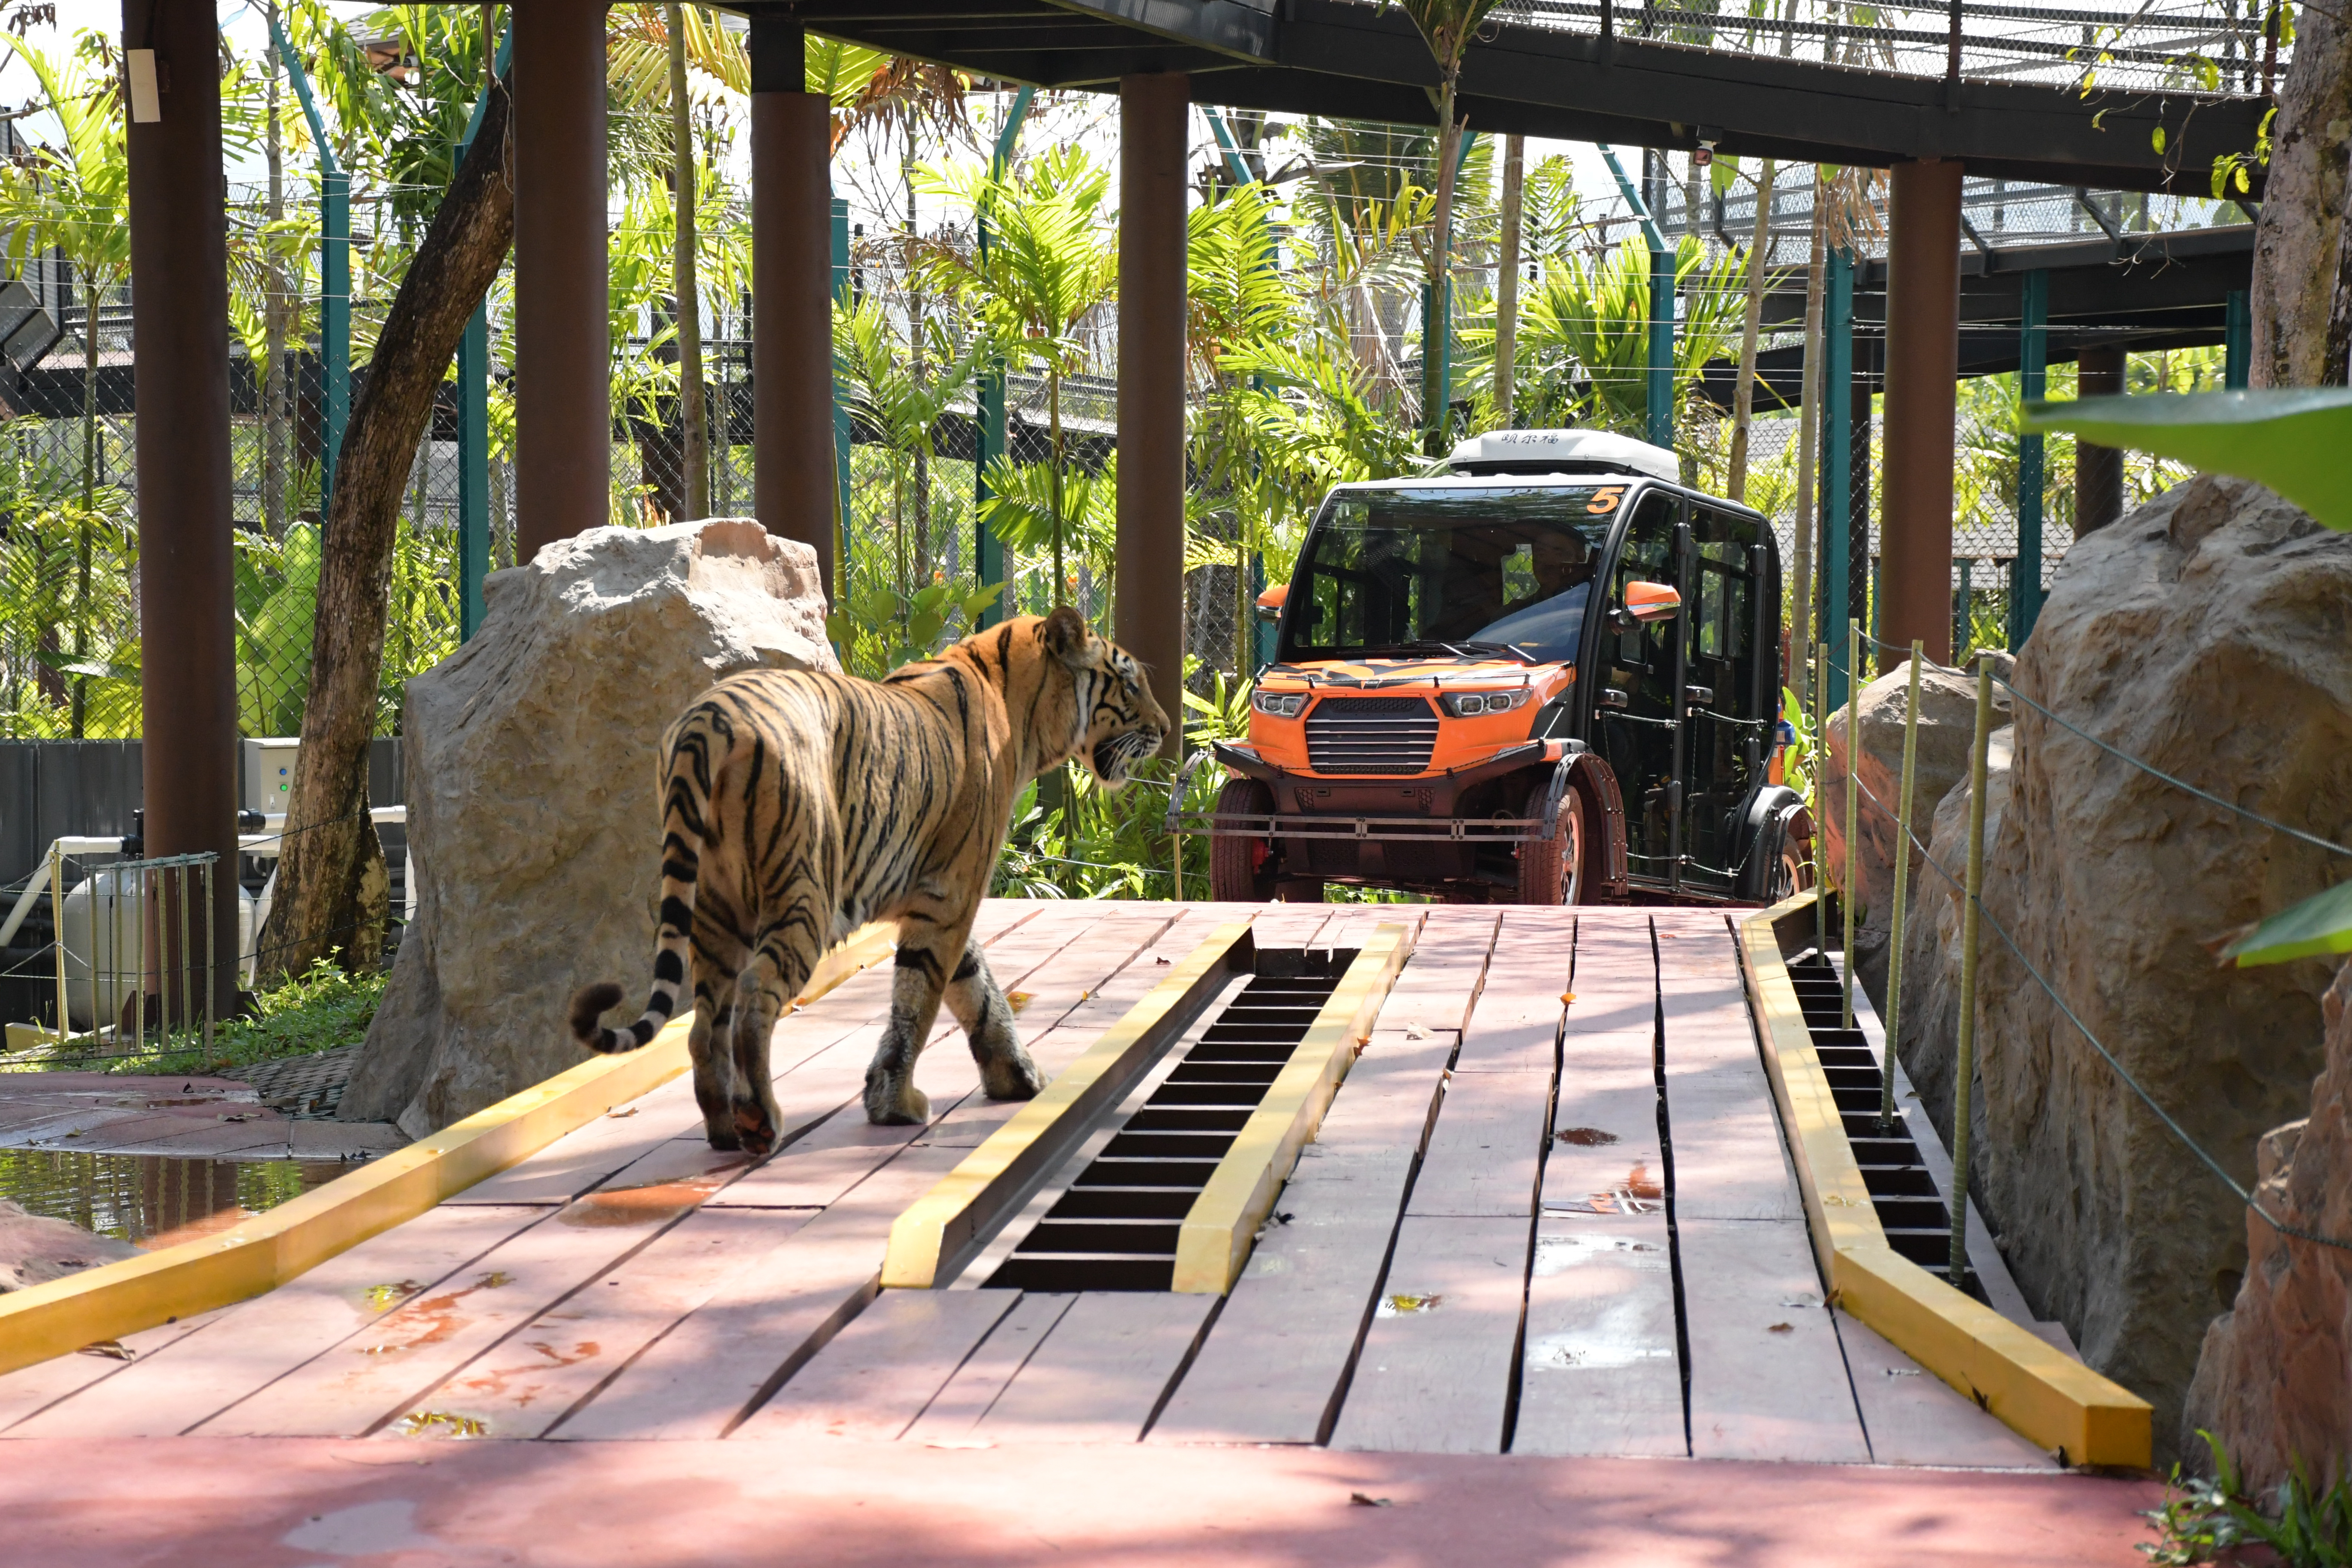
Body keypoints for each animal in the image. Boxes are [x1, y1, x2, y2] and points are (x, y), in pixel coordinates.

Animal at [568, 607, 1170, 1152]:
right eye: (1130, 683)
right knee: (754, 995)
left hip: (716, 905)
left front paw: (1017, 1076)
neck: (1018, 702)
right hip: (804, 890)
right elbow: (919, 1003)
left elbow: (977, 986)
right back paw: (760, 1119)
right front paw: (895, 1104)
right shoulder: (951, 894)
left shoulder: (938, 896)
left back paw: (721, 1129)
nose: (1165, 730)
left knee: (705, 1021)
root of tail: (707, 719)